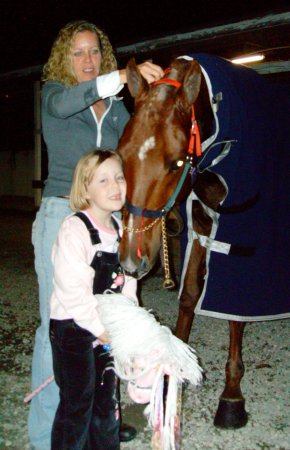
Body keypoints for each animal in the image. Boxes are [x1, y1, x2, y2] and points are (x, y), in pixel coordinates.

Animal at [116, 53, 290, 428]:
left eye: (175, 162)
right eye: (122, 155)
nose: (132, 262)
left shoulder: (242, 240)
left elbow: (236, 314)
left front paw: (232, 398)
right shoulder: (201, 222)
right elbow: (190, 294)